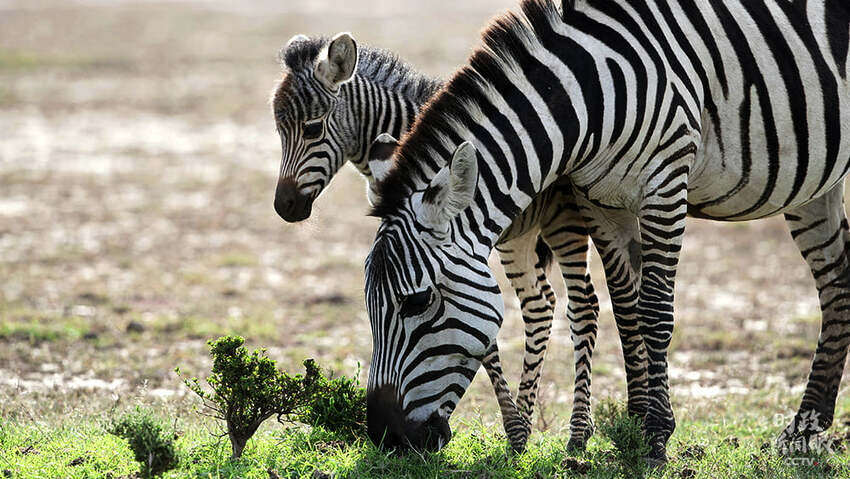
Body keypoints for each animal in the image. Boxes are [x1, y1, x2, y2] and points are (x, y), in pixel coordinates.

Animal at [268, 33, 600, 450]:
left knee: (584, 306)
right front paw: (512, 428)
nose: (284, 207)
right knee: (540, 305)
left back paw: (578, 432)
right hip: (521, 238)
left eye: (312, 129)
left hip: (563, 222)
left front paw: (509, 426)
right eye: (278, 131)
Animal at [362, 0, 848, 466]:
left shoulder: (665, 183)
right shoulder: (598, 200)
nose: (385, 437)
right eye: (370, 305)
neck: (586, 95)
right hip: (815, 182)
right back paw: (807, 427)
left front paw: (656, 435)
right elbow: (627, 306)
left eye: (417, 302)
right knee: (835, 283)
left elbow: (654, 310)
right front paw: (635, 419)